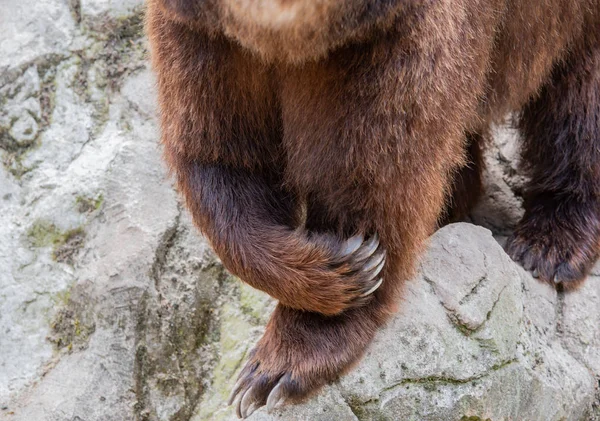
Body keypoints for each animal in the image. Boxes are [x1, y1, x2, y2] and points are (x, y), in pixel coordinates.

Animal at [145, 0, 600, 414]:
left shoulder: (398, 35)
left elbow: (375, 174)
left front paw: (283, 362)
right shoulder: (205, 38)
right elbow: (222, 155)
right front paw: (335, 269)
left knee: (579, 95)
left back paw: (551, 242)